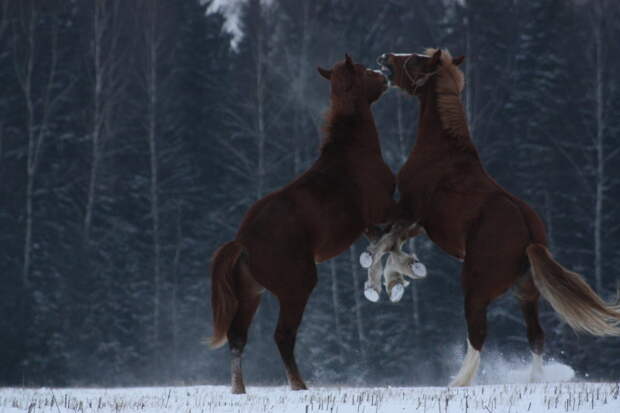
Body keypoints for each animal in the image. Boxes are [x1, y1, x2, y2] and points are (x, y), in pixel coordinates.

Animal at [208, 54, 392, 392]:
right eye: (363, 70)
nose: (384, 74)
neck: (354, 153)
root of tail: (243, 242)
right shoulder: (382, 211)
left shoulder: (369, 226)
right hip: (297, 288)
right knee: (283, 335)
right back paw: (298, 385)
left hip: (251, 294)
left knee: (237, 338)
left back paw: (239, 389)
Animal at [368, 48, 620, 386]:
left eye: (416, 60)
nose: (384, 58)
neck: (441, 154)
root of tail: (530, 238)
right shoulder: (419, 224)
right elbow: (392, 244)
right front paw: (400, 276)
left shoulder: (410, 211)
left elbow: (385, 241)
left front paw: (387, 281)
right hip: (527, 293)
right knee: (536, 336)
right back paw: (533, 381)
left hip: (476, 288)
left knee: (477, 335)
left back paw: (457, 383)